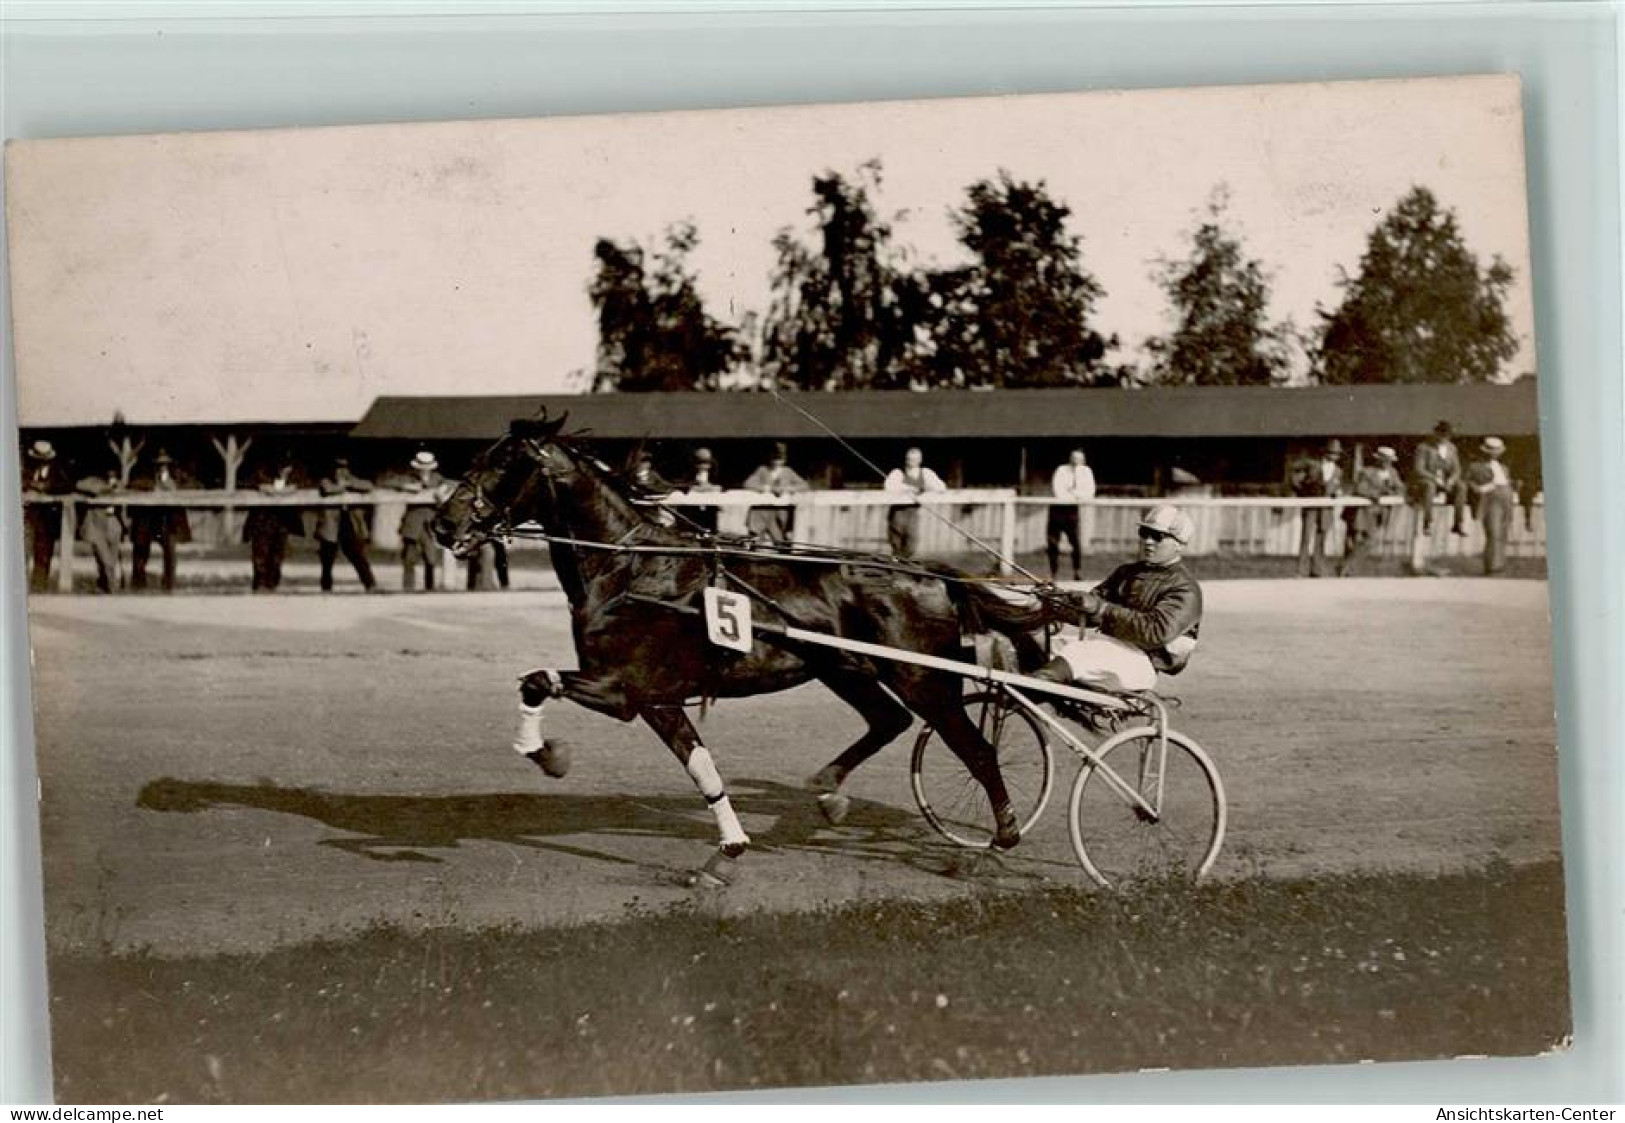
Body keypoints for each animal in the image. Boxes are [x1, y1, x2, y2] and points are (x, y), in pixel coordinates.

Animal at [432, 414, 1040, 890]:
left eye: (503, 462)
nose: (443, 523)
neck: (628, 569)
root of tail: (930, 574)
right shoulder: (658, 699)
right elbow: (701, 767)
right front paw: (727, 853)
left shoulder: (620, 687)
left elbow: (536, 679)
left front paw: (544, 752)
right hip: (845, 668)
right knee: (888, 720)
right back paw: (828, 790)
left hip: (923, 678)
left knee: (977, 751)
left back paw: (999, 842)